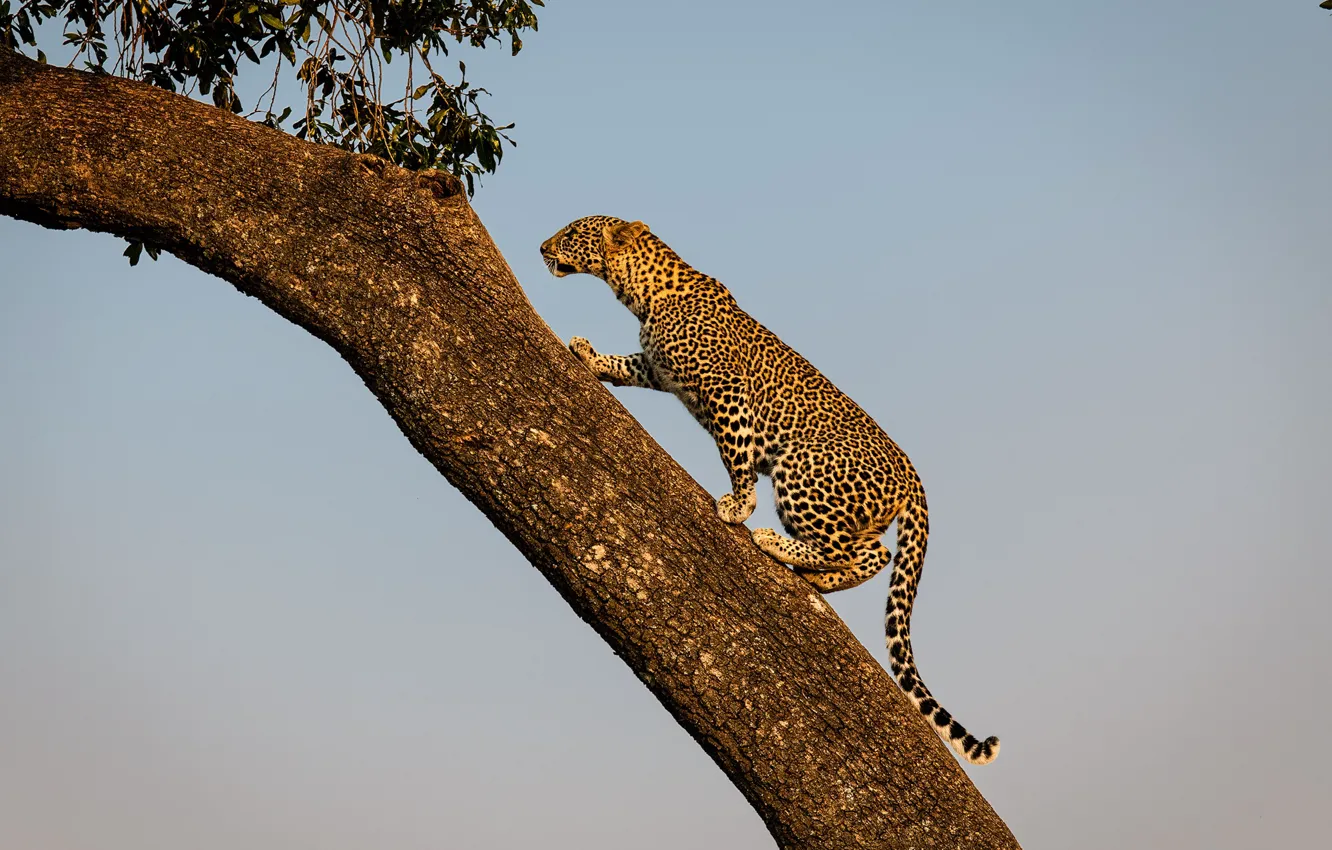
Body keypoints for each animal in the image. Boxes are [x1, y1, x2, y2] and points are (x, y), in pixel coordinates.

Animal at [540, 215, 999, 765]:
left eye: (571, 233)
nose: (541, 248)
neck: (644, 293)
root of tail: (913, 477)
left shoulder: (726, 391)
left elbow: (736, 453)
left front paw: (738, 505)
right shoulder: (658, 368)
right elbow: (628, 365)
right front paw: (591, 357)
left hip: (801, 469)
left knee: (864, 550)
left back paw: (776, 544)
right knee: (871, 552)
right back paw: (815, 577)